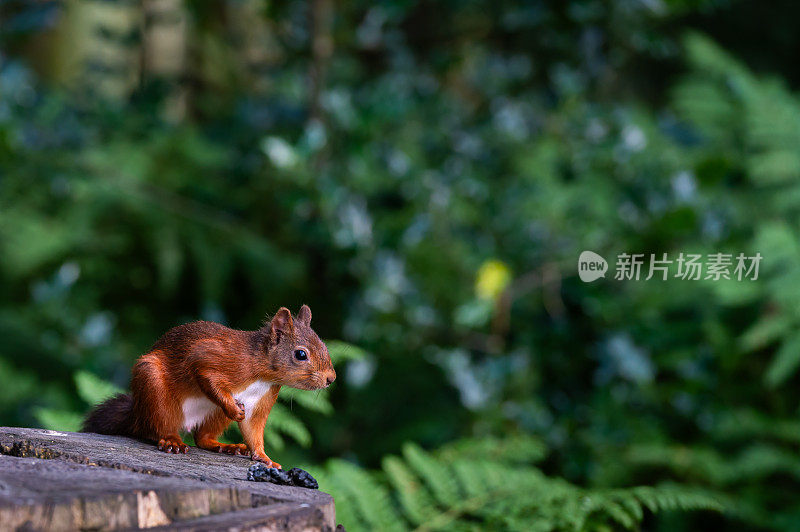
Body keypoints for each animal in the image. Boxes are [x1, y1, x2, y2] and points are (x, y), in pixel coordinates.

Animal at [86, 306, 336, 468]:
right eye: (301, 354)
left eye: (324, 345)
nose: (331, 378)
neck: (263, 375)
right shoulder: (215, 359)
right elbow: (205, 374)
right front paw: (234, 409)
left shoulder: (261, 401)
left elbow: (253, 430)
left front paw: (264, 458)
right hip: (153, 388)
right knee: (154, 428)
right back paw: (171, 440)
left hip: (213, 415)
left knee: (202, 438)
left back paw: (226, 446)